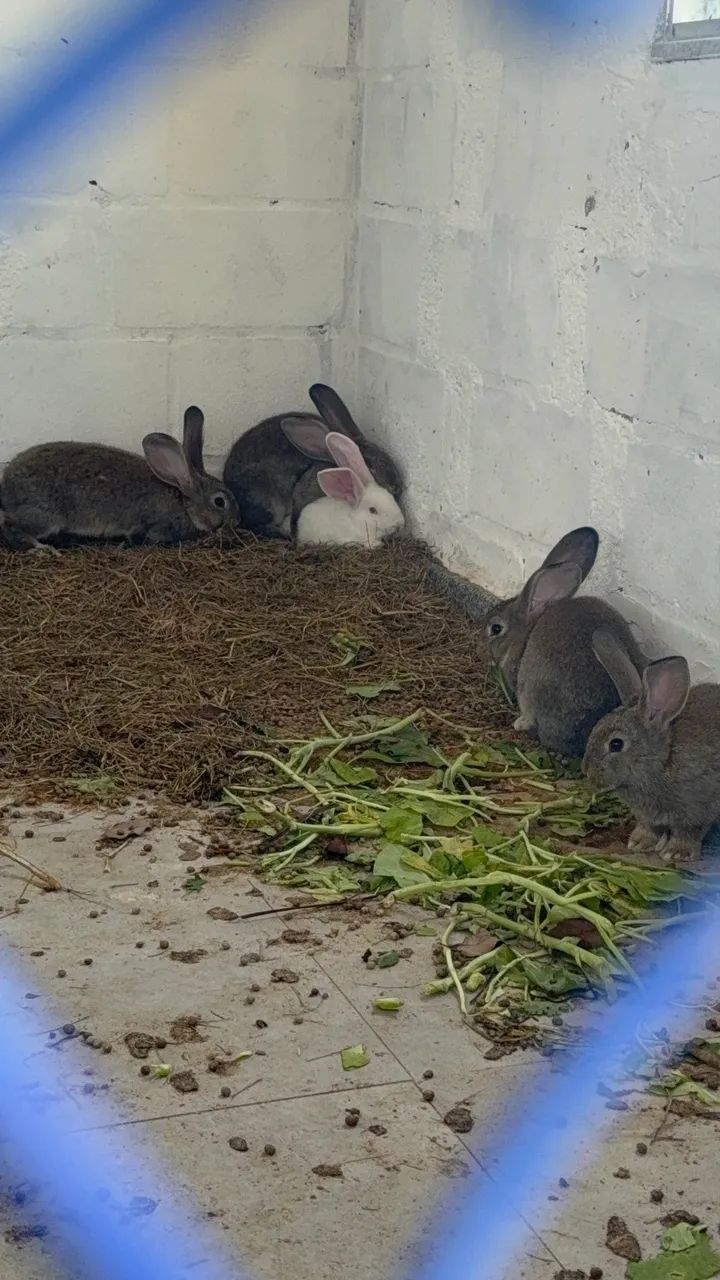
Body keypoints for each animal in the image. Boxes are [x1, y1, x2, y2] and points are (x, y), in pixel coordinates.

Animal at [0, 407, 239, 550]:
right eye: (220, 502)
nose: (237, 521)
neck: (184, 502)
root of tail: (5, 489)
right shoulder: (152, 524)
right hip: (44, 516)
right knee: (11, 529)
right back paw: (42, 549)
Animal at [584, 627, 720, 865]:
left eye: (616, 744)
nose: (587, 772)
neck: (661, 761)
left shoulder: (698, 807)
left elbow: (689, 831)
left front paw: (677, 852)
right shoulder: (649, 816)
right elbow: (651, 828)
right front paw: (639, 842)